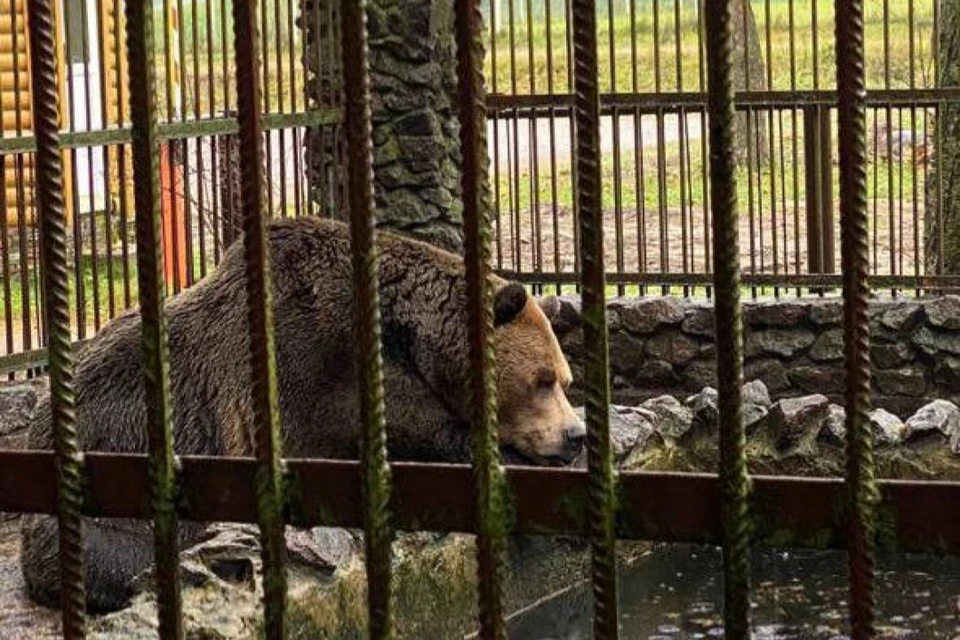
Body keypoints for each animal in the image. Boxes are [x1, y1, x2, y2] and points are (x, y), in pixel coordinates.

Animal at [20, 216, 584, 616]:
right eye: (542, 379)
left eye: (563, 378)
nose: (573, 434)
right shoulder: (317, 372)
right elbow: (420, 436)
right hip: (113, 490)